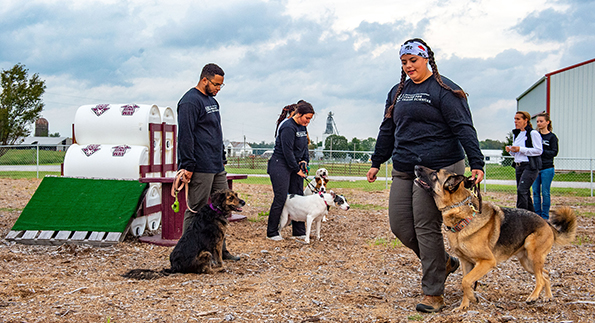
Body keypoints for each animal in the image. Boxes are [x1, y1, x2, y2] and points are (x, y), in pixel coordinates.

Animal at [414, 166, 576, 312]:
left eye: (434, 174)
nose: (416, 166)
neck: (462, 214)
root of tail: (547, 223)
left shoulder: (487, 261)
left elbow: (466, 281)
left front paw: (472, 298)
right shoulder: (466, 263)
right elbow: (465, 282)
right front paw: (464, 305)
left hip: (532, 255)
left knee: (540, 279)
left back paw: (533, 296)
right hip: (527, 262)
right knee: (546, 274)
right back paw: (548, 296)